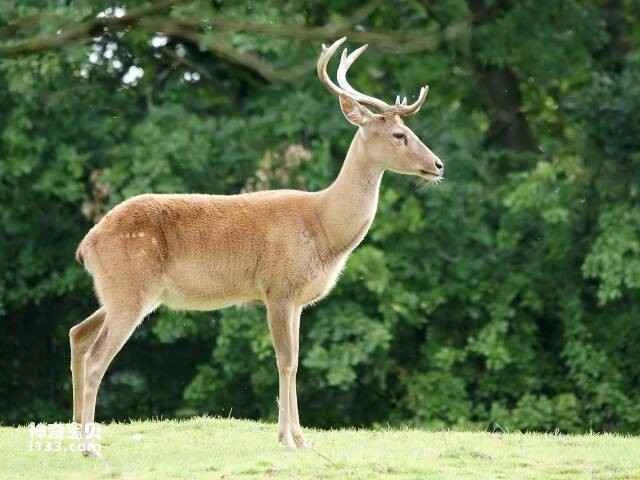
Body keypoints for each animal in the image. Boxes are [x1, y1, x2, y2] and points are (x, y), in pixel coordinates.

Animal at [70, 36, 443, 453]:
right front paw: (288, 439)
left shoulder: (298, 300)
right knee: (97, 357)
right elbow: (286, 360)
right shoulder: (278, 287)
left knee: (78, 334)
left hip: (118, 292)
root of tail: (87, 244)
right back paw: (89, 446)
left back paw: (75, 431)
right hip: (130, 288)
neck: (324, 229)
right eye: (399, 135)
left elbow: (296, 360)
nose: (438, 165)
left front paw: (301, 437)